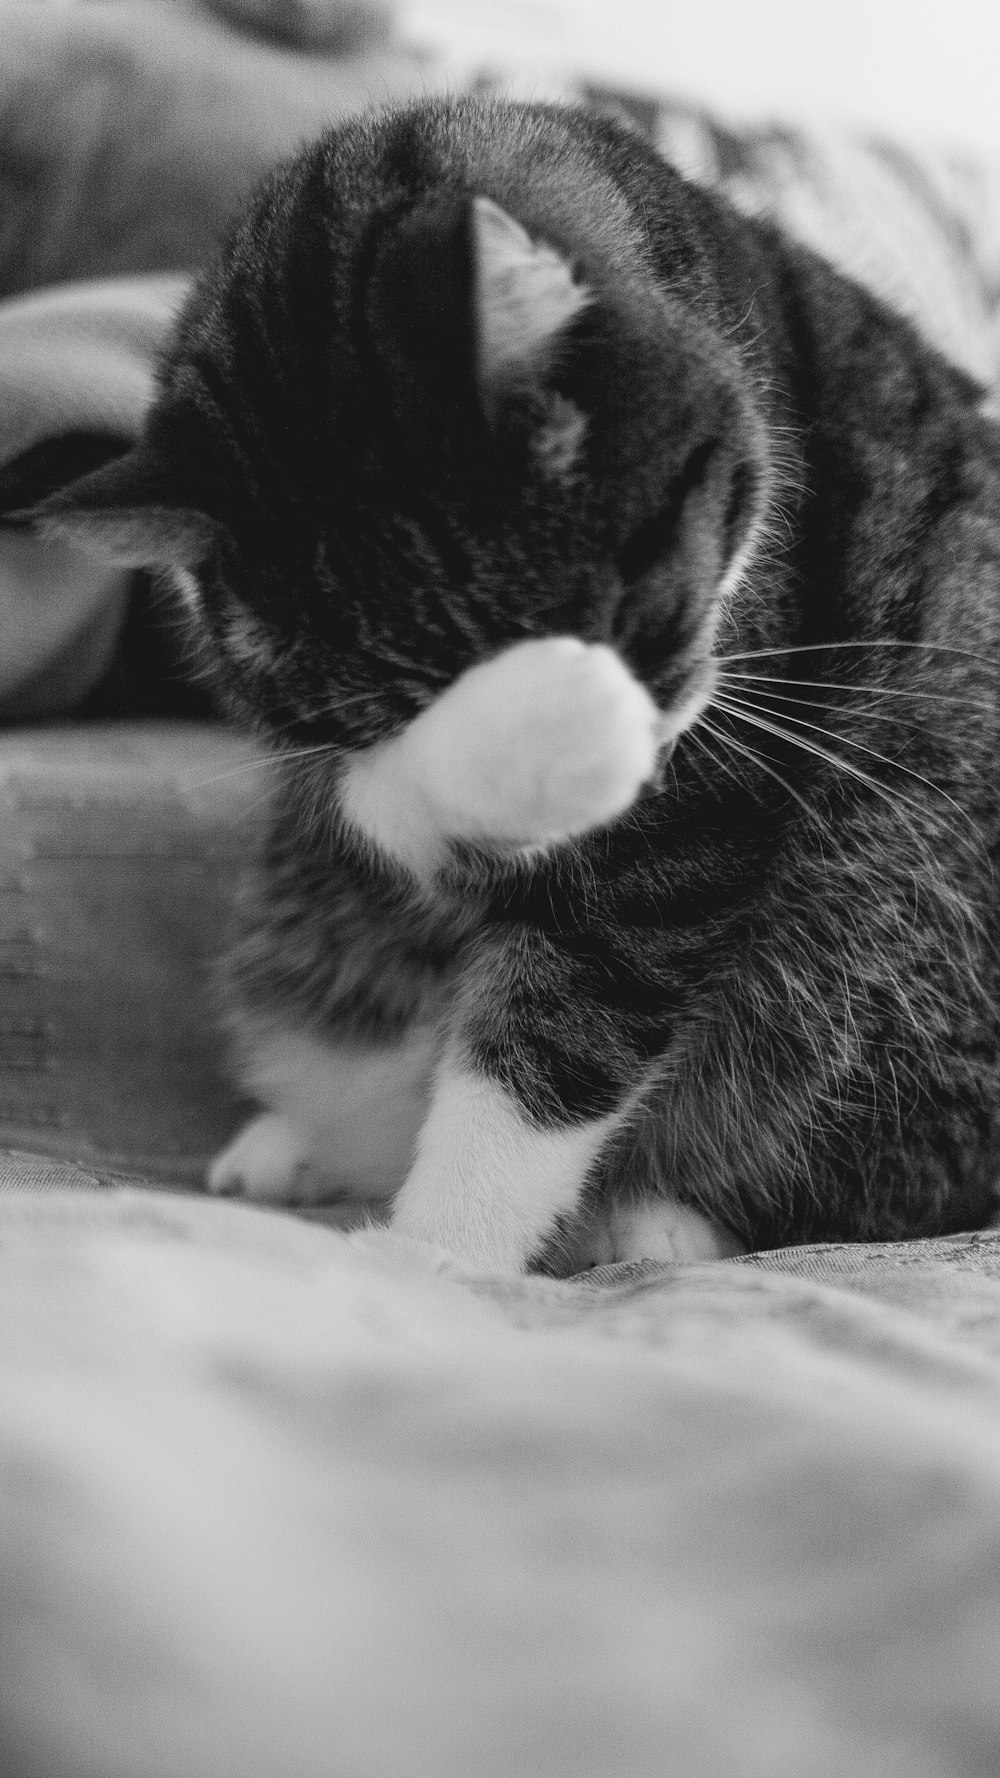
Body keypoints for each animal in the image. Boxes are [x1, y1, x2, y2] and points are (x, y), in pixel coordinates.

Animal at [27, 97, 996, 1273]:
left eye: (617, 609)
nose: (620, 736)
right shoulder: (325, 746)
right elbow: (380, 797)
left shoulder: (707, 784)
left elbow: (559, 1032)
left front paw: (433, 1256)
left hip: (881, 936)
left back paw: (655, 1219)